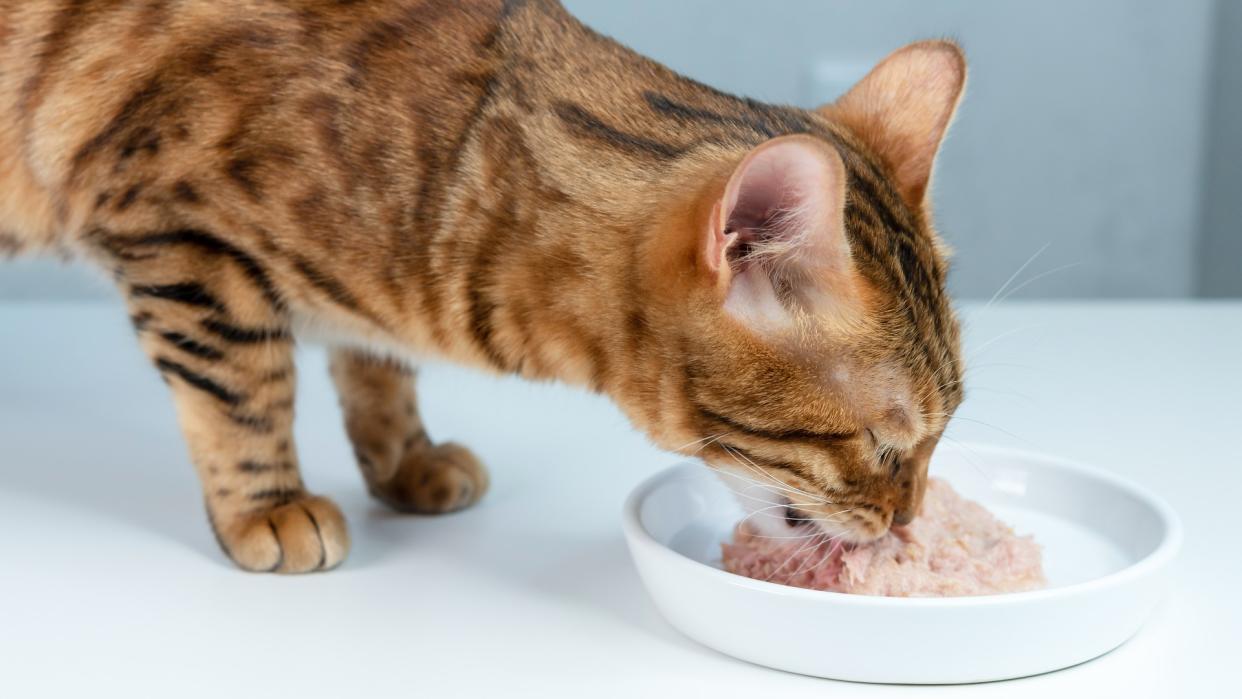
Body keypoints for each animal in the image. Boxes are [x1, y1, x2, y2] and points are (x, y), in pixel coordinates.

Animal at [0, 0, 968, 573]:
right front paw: (267, 504)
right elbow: (245, 390)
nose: (912, 518)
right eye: (884, 443)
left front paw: (405, 459)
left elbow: (375, 368)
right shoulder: (176, 233)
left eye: (942, 434)